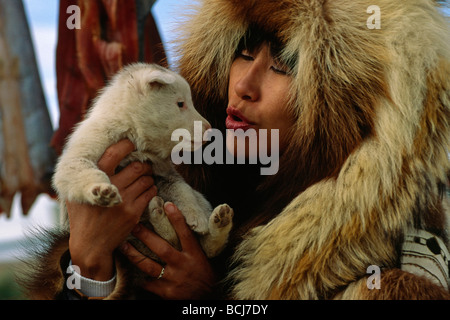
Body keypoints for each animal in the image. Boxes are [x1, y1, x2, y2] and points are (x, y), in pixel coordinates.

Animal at [54, 63, 234, 260]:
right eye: (180, 103)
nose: (210, 129)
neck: (136, 139)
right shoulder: (80, 153)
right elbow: (85, 171)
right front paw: (100, 190)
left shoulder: (164, 173)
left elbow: (182, 189)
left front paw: (197, 215)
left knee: (206, 249)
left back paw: (218, 224)